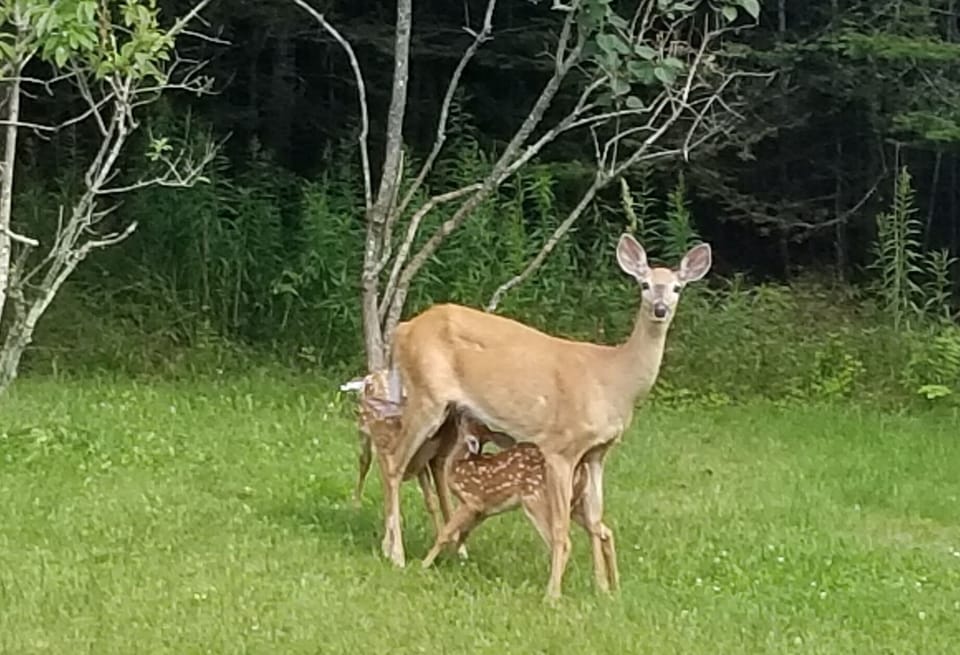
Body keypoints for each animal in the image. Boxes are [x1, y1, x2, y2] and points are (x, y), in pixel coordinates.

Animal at [421, 412, 616, 586]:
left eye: (469, 421)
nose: (460, 413)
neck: (460, 463)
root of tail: (581, 470)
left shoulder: (472, 501)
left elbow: (446, 533)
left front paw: (425, 564)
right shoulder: (483, 511)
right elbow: (463, 533)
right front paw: (456, 561)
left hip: (537, 500)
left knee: (563, 542)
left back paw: (551, 591)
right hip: (575, 504)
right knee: (604, 531)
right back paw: (612, 587)